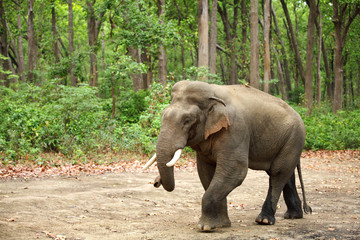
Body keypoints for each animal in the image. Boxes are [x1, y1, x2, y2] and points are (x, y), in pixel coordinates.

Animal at [142, 81, 310, 232]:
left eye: (187, 120)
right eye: (162, 115)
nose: (156, 182)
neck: (212, 93)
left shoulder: (235, 130)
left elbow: (235, 170)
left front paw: (205, 227)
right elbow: (206, 172)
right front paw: (221, 225)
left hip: (295, 138)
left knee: (277, 173)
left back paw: (264, 220)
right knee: (285, 174)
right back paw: (293, 216)